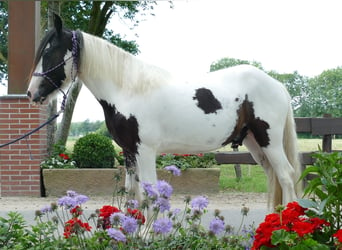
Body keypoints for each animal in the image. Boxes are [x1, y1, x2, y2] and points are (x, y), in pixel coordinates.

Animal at [26, 14, 300, 209]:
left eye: (50, 52)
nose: (31, 93)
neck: (128, 89)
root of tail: (277, 85)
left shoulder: (146, 150)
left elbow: (150, 192)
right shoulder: (129, 151)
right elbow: (132, 194)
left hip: (269, 140)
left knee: (286, 176)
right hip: (254, 142)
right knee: (274, 177)